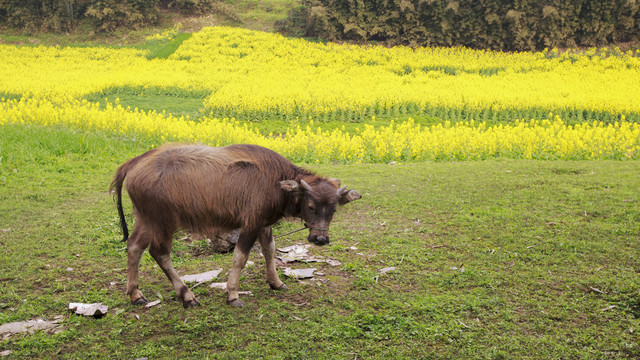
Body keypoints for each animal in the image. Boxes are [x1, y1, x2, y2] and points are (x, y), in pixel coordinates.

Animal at [110, 143, 360, 306]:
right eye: (311, 206)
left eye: (333, 210)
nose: (320, 239)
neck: (275, 181)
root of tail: (136, 162)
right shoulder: (250, 224)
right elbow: (240, 257)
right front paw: (232, 294)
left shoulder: (264, 224)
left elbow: (270, 250)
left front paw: (276, 282)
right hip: (163, 222)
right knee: (159, 253)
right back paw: (187, 295)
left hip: (146, 220)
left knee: (134, 246)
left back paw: (136, 294)